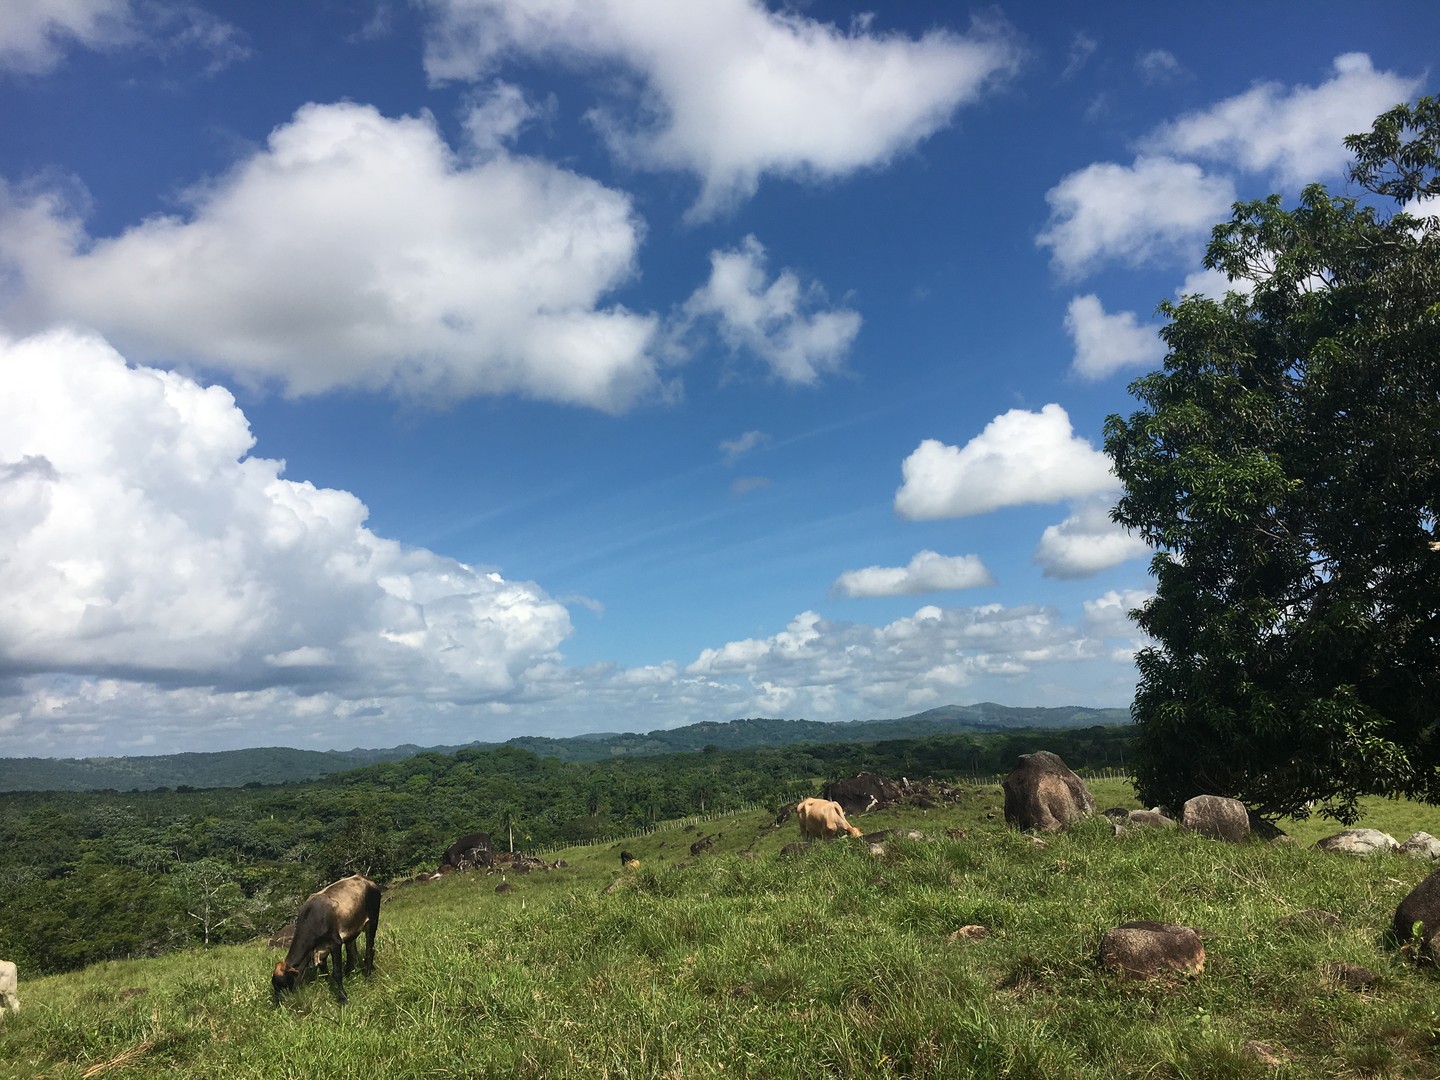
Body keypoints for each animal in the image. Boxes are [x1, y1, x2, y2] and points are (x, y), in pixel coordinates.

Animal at [270, 875, 380, 1013]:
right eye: (274, 985)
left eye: (284, 983)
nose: (280, 1004)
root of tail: (365, 879)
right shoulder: (321, 951)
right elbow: (325, 972)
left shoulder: (335, 943)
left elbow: (336, 973)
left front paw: (343, 998)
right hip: (351, 931)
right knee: (352, 955)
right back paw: (351, 975)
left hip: (372, 921)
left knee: (369, 950)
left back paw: (368, 976)